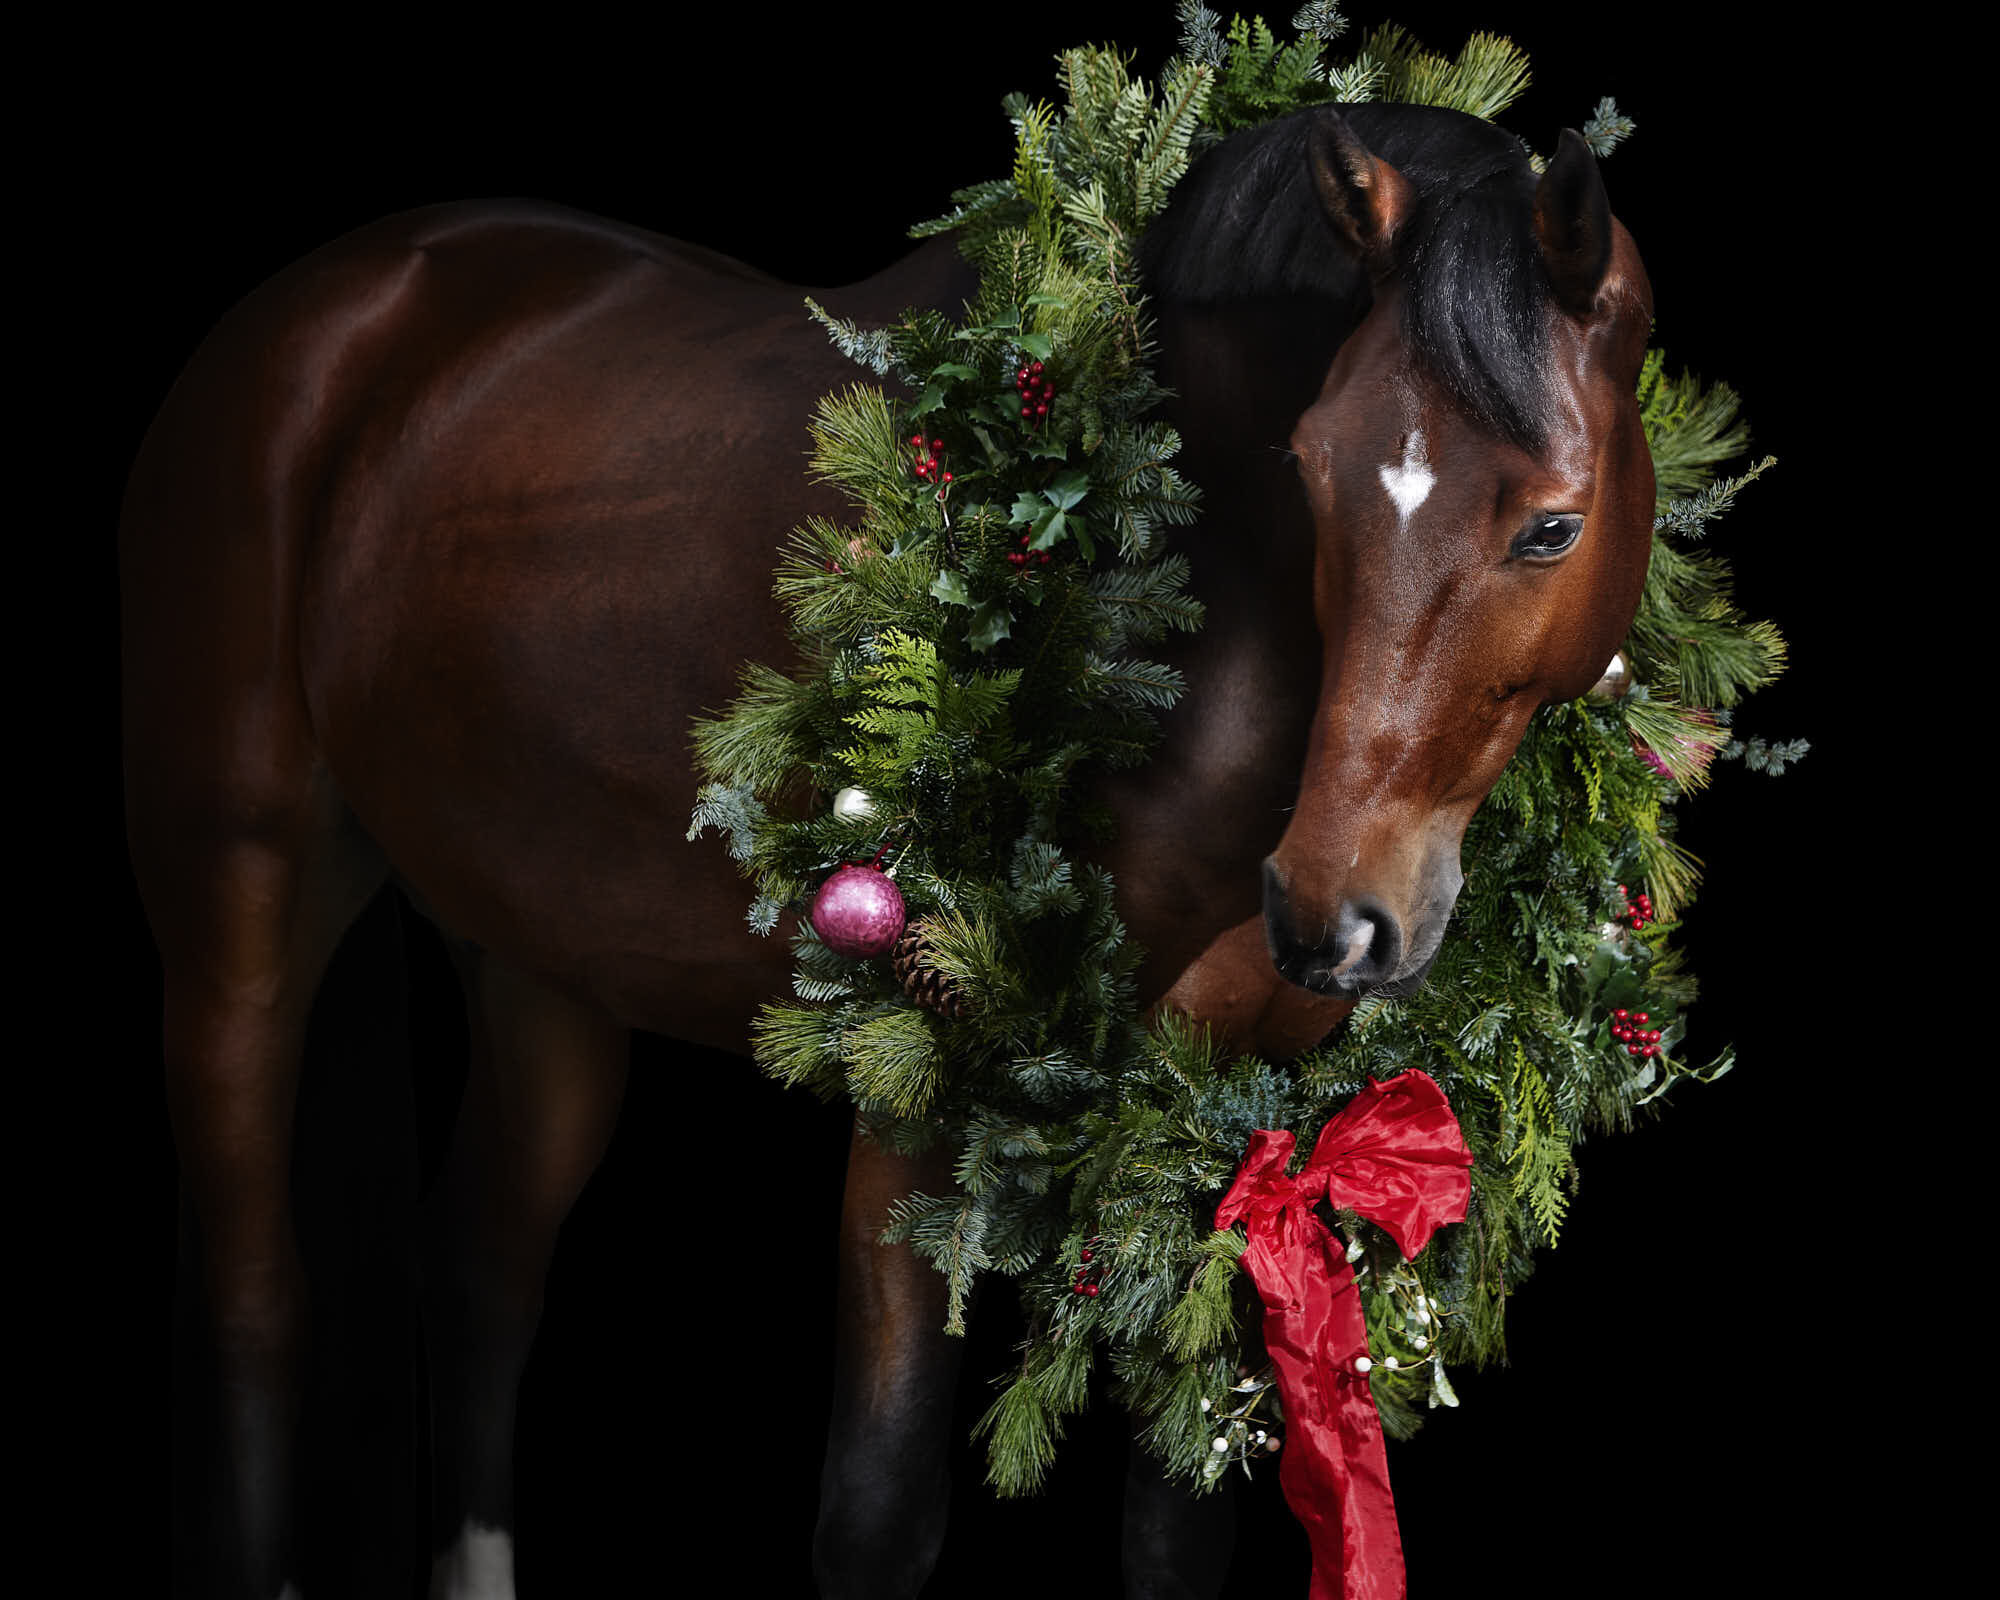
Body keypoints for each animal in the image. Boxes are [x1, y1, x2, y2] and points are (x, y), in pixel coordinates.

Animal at [120, 98, 1654, 1598]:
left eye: (1551, 525)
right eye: (1312, 470)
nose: (1332, 913)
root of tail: (331, 306)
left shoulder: (1236, 1127)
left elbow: (1174, 1532)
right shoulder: (917, 1099)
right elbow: (878, 1508)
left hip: (535, 960)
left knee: (481, 1280)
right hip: (241, 897)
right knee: (257, 1306)